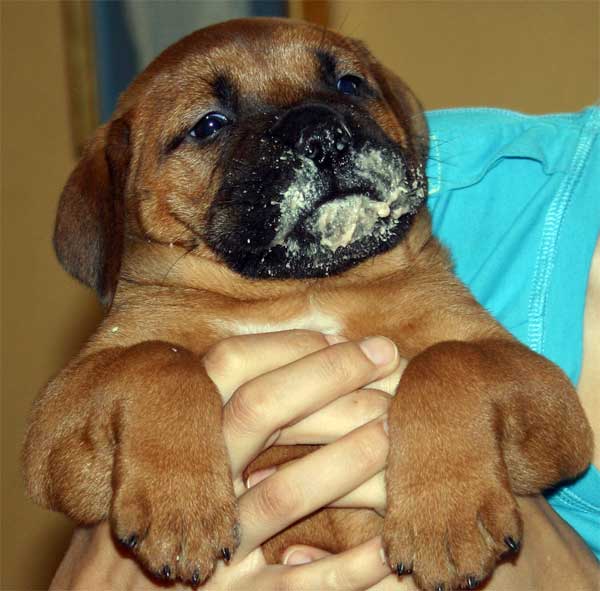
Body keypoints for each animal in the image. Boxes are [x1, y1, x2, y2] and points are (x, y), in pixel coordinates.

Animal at [22, 18, 592, 591]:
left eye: (349, 84)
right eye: (209, 124)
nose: (322, 134)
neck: (303, 288)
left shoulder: (545, 394)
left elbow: (447, 361)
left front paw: (447, 515)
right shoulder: (57, 425)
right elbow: (159, 360)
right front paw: (178, 505)